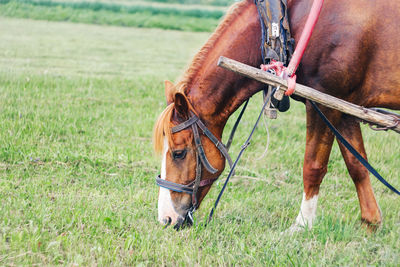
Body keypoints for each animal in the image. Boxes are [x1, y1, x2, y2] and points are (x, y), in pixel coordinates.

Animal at [153, 0, 400, 230]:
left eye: (178, 153)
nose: (166, 219)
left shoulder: (325, 103)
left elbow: (313, 166)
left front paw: (302, 225)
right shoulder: (344, 107)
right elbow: (357, 165)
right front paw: (371, 223)